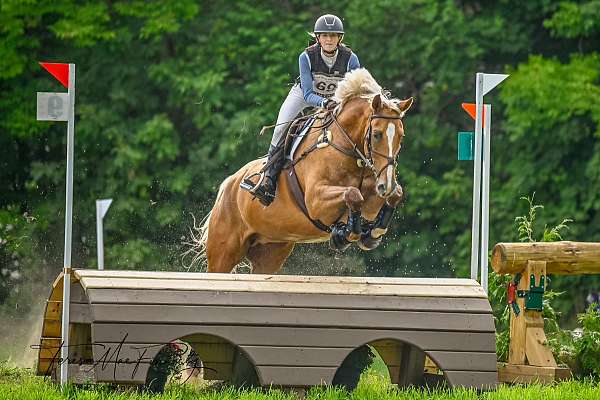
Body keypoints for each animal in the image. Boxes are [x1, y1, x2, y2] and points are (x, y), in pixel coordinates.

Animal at [188, 69, 412, 276]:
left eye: (401, 136)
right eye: (377, 134)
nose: (386, 185)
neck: (345, 147)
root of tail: (229, 184)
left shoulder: (371, 201)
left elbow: (393, 196)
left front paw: (371, 233)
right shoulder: (316, 201)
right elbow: (352, 194)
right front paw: (346, 234)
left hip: (270, 252)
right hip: (223, 253)